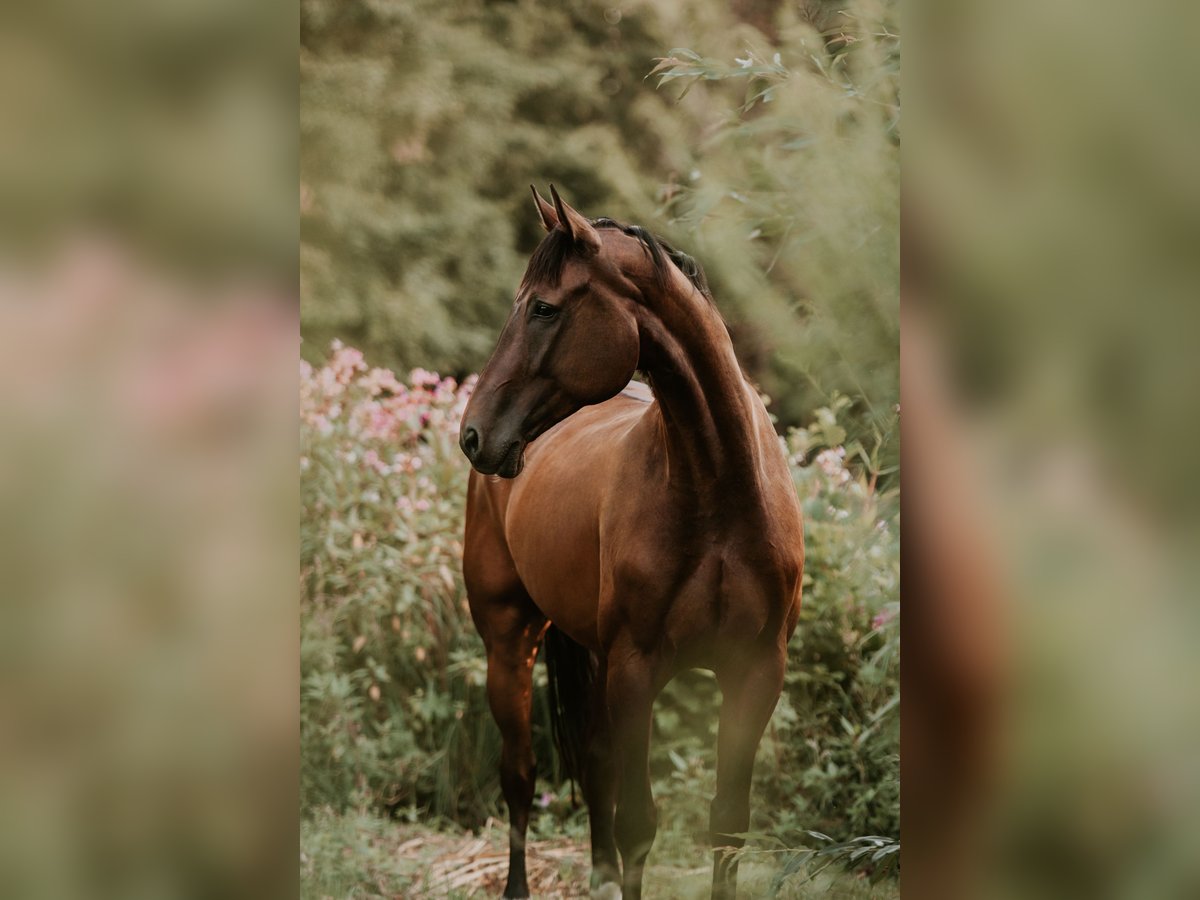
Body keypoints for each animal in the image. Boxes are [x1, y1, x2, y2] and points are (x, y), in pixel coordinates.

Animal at [460, 187, 806, 897]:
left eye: (543, 307)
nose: (474, 434)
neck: (720, 491)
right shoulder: (637, 670)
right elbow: (639, 824)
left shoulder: (757, 671)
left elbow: (727, 824)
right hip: (509, 643)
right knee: (520, 775)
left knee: (593, 770)